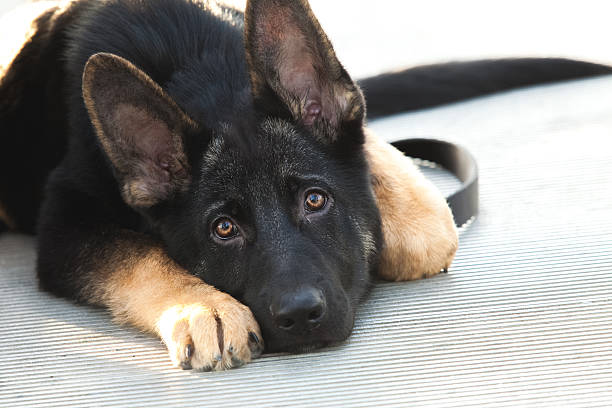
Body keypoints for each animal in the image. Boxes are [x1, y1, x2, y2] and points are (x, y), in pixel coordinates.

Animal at [2, 0, 608, 372]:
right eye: (224, 229)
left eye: (315, 200)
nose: (297, 316)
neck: (202, 67)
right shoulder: (65, 220)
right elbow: (136, 255)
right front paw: (203, 306)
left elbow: (427, 226)